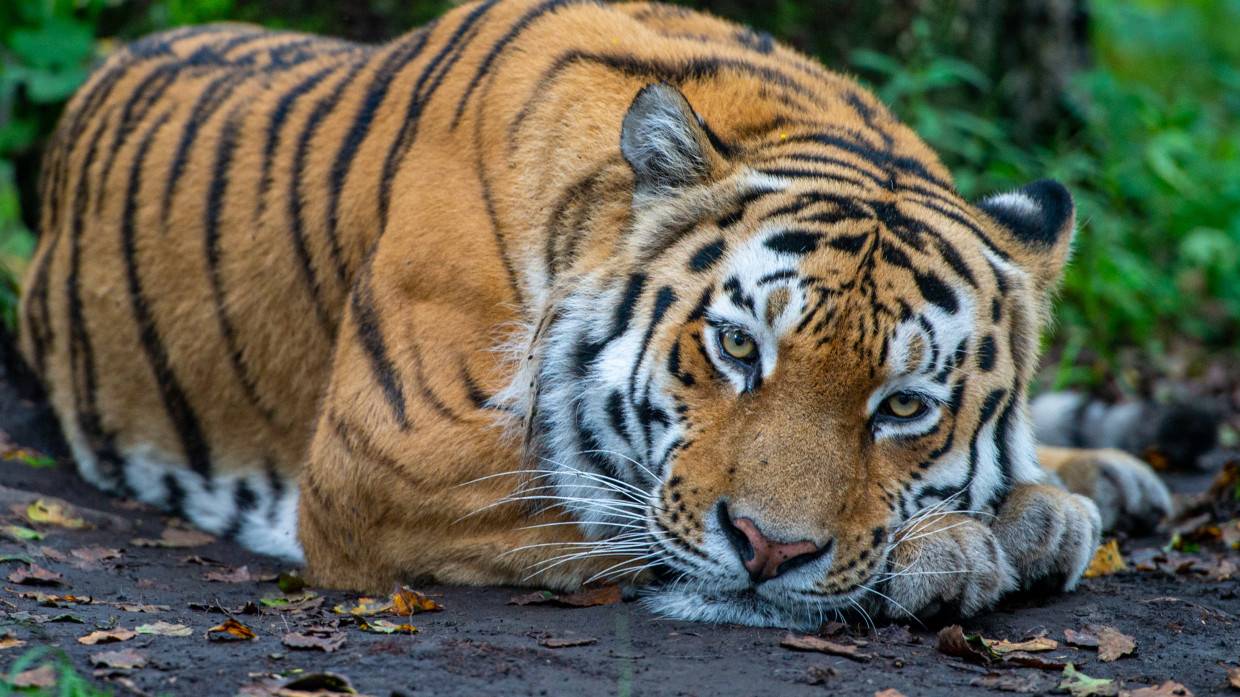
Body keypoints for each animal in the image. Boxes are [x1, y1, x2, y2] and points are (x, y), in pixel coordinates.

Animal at [19, 0, 1173, 628]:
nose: (768, 550)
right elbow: (603, 506)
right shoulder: (385, 459)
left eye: (901, 406)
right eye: (737, 347)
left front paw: (1036, 508)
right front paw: (964, 548)